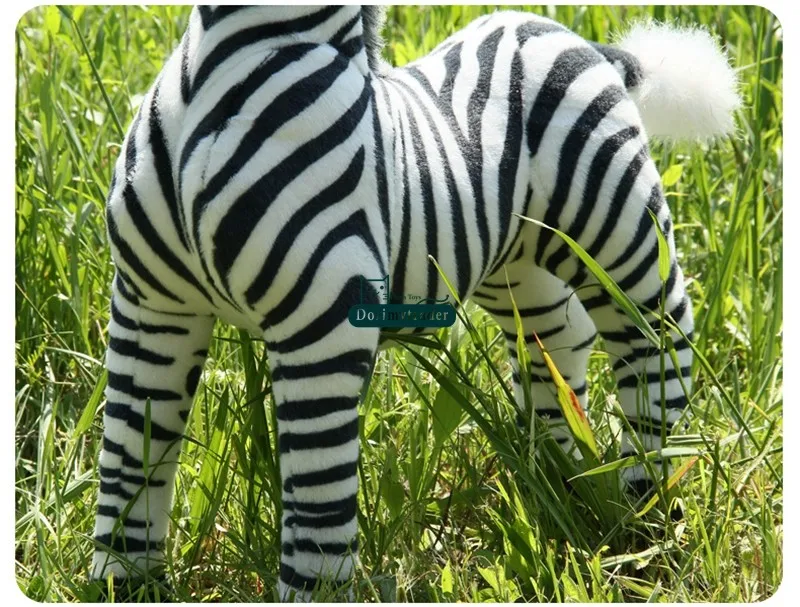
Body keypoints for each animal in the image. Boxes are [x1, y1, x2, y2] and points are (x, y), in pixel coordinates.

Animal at [91, 5, 740, 601]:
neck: (230, 58)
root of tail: (582, 43)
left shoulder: (324, 327)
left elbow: (318, 499)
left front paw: (315, 591)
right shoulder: (151, 307)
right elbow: (129, 458)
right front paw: (123, 584)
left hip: (614, 226)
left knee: (658, 336)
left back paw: (644, 505)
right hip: (515, 264)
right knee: (556, 342)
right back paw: (561, 478)